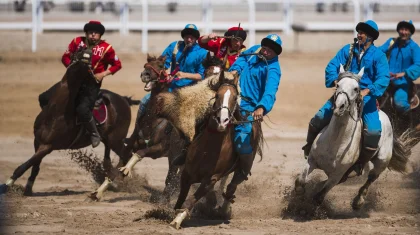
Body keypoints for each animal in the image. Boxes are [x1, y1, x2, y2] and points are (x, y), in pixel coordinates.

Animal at [0, 47, 135, 196]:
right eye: (78, 52)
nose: (94, 77)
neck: (56, 112)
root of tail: (124, 99)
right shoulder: (37, 141)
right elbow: (35, 166)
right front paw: (28, 188)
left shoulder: (47, 146)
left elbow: (24, 165)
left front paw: (6, 185)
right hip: (109, 139)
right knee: (110, 158)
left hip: (116, 139)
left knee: (126, 155)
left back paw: (113, 180)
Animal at [170, 70, 262, 229]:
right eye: (217, 95)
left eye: (235, 98)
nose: (222, 121)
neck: (207, 150)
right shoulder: (186, 173)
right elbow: (181, 198)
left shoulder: (211, 179)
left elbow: (191, 199)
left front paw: (177, 220)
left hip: (240, 171)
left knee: (231, 188)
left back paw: (223, 211)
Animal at [296, 65, 410, 210]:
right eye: (337, 85)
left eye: (356, 88)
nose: (339, 106)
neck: (335, 142)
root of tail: (384, 115)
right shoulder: (311, 160)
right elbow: (301, 181)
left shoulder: (337, 175)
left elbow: (319, 196)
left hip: (382, 161)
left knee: (371, 178)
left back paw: (358, 201)